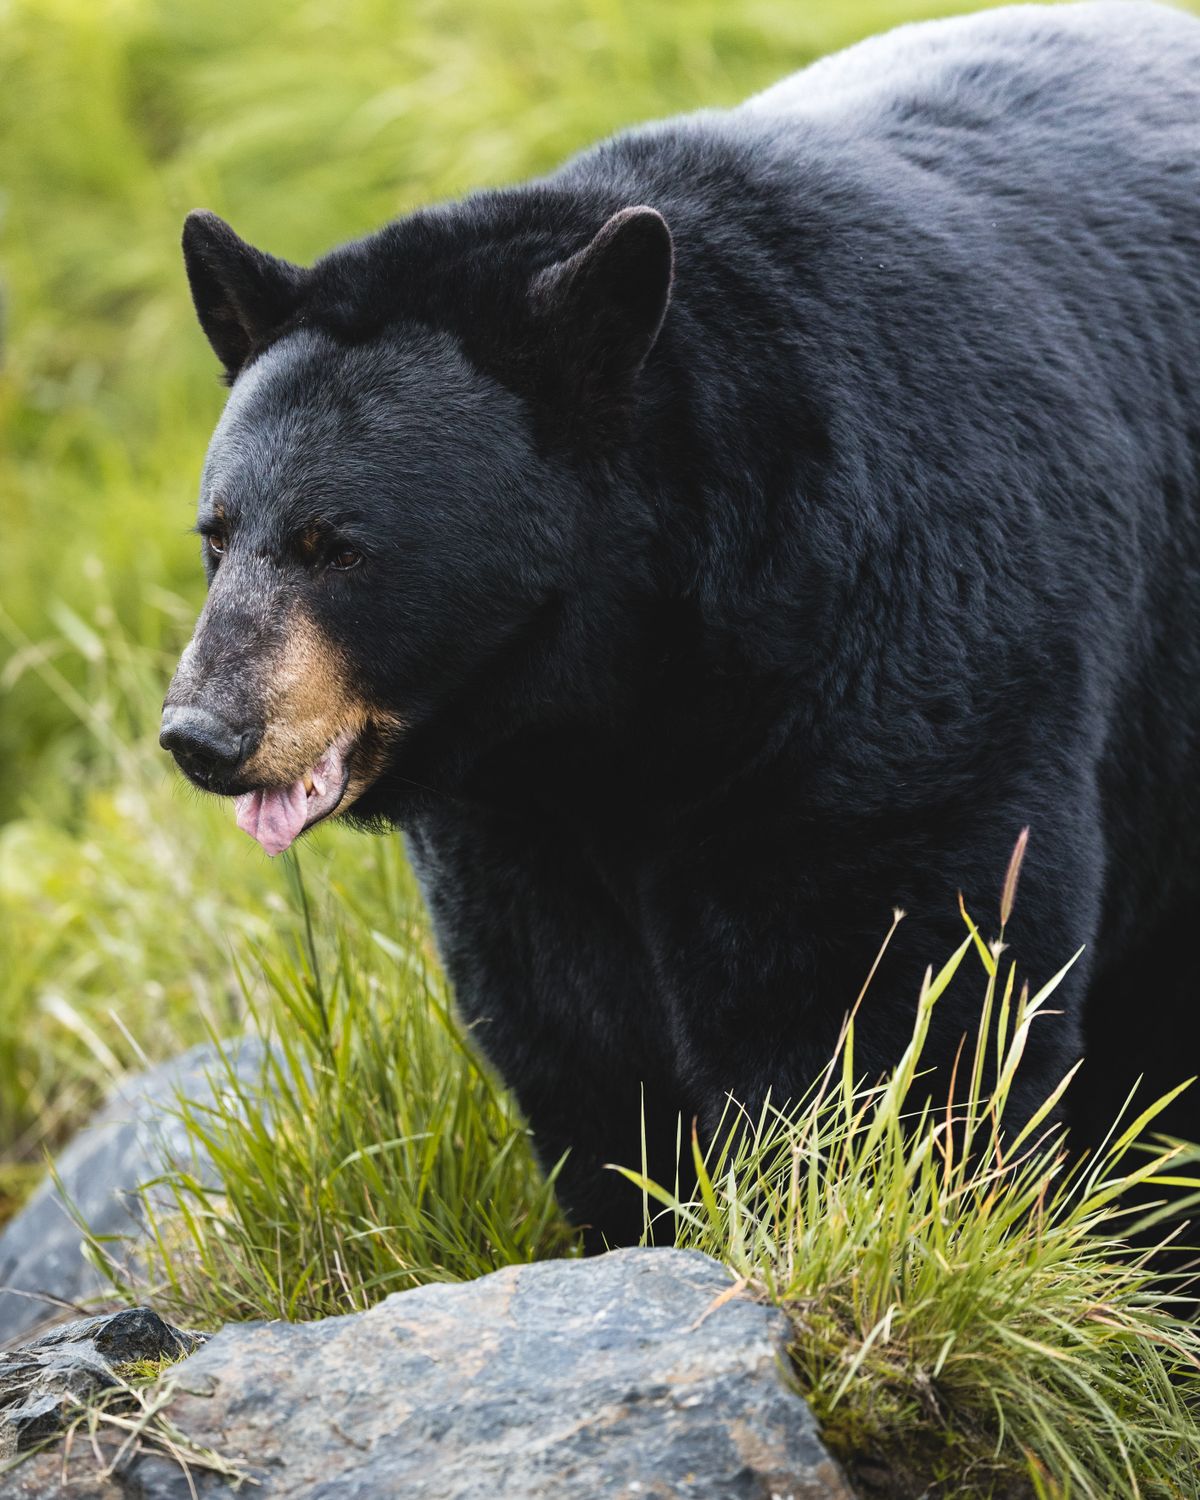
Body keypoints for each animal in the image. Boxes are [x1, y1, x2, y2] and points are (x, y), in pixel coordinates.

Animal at [161, 1, 1200, 1250]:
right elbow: (570, 1029)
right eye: (218, 533)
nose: (202, 733)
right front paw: (643, 1214)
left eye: (341, 545)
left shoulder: (891, 657)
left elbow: (895, 982)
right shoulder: (516, 821)